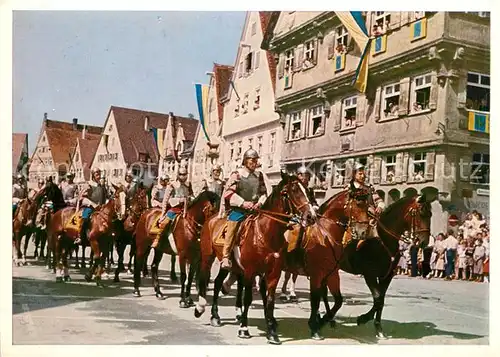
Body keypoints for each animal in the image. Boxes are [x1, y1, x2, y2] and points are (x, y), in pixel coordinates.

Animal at [193, 171, 314, 344]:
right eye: (292, 191)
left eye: (307, 190)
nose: (311, 216)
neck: (266, 232)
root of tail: (211, 219)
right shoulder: (250, 271)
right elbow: (248, 298)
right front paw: (244, 328)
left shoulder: (273, 273)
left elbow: (269, 300)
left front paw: (272, 332)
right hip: (208, 257)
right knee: (204, 279)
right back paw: (200, 307)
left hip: (228, 264)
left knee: (217, 283)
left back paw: (215, 316)